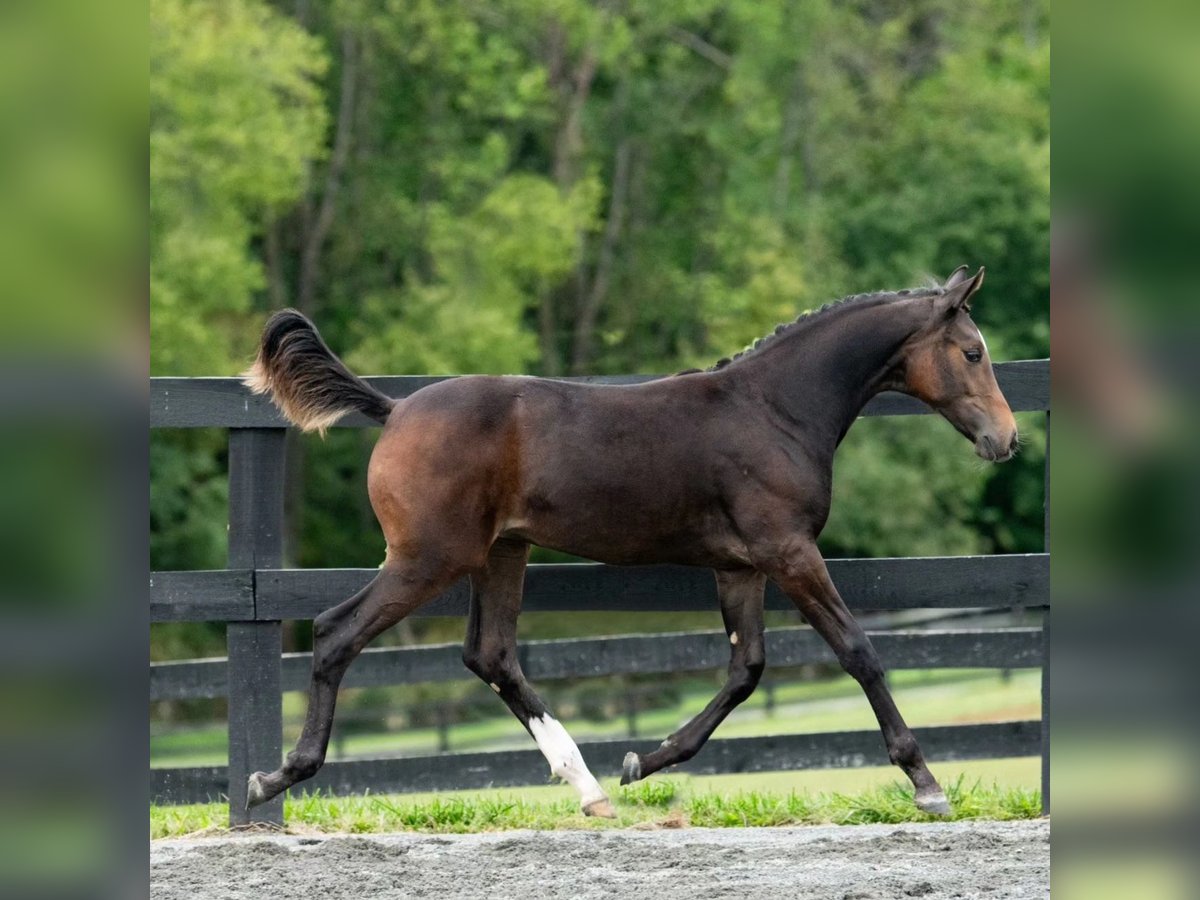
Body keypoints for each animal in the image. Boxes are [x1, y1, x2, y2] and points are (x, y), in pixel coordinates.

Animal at [241, 264, 1012, 820]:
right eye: (973, 352)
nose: (1005, 439)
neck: (774, 410)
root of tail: (396, 408)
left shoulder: (741, 566)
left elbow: (746, 670)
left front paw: (645, 760)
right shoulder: (789, 552)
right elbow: (857, 651)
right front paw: (926, 782)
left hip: (501, 553)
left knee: (490, 655)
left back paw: (589, 788)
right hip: (429, 558)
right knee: (337, 632)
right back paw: (274, 778)